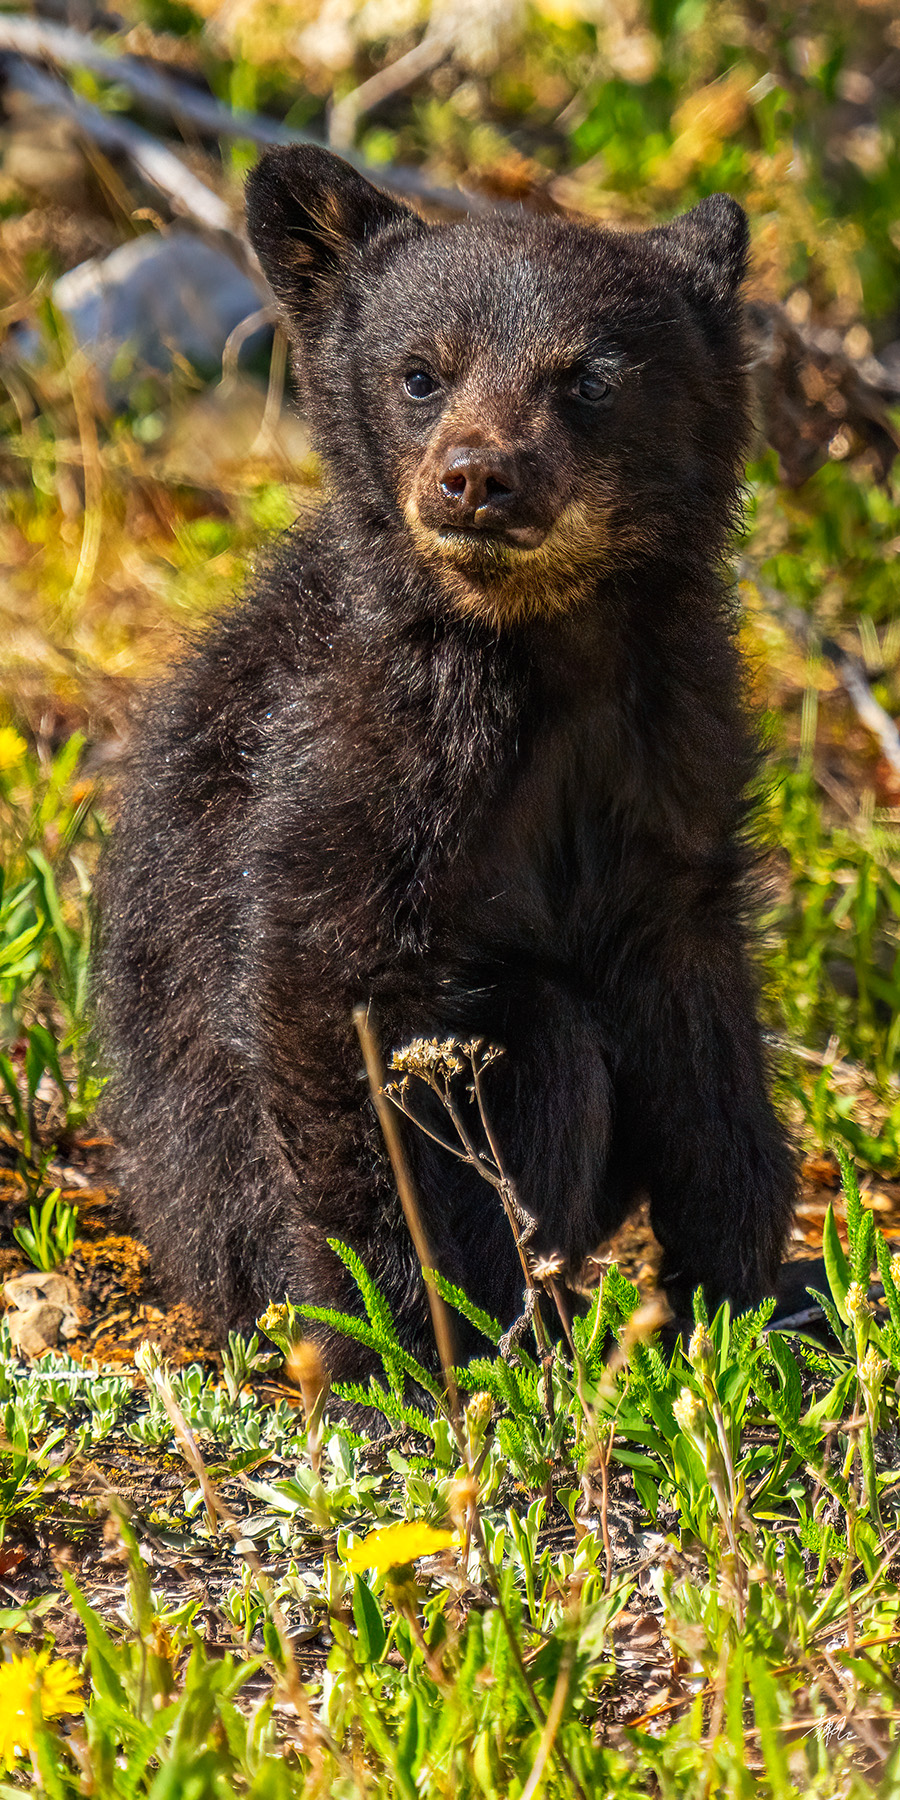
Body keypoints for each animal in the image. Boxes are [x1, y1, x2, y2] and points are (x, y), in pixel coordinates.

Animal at [97, 146, 795, 1379]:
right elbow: (327, 996)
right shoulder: (358, 749)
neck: (544, 652)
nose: (476, 477)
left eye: (589, 378)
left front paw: (751, 1306)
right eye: (422, 374)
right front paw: (396, 1352)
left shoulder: (670, 744)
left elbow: (702, 1020)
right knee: (547, 1037)